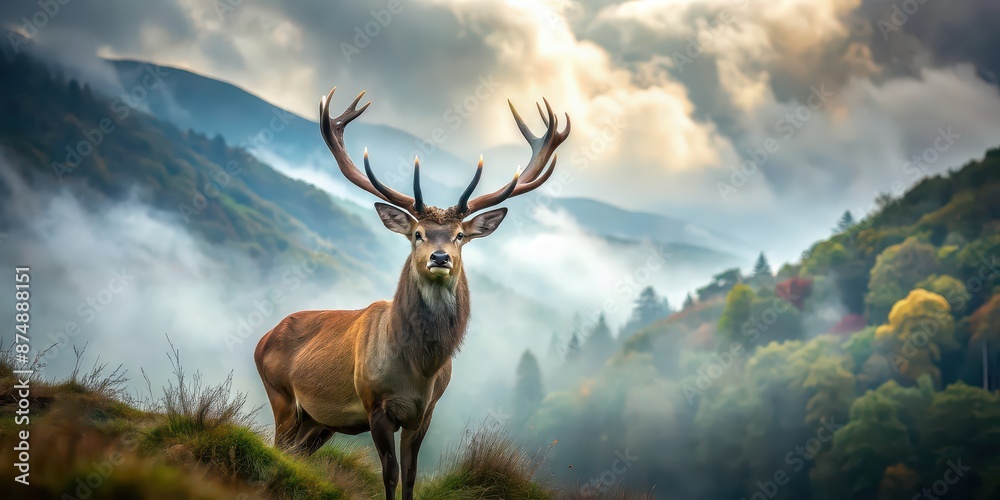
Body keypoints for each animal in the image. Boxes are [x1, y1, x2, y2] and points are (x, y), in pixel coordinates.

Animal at [254, 85, 570, 500]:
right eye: (417, 234)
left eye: (460, 236)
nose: (440, 257)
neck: (420, 368)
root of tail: (263, 338)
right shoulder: (375, 405)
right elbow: (389, 474)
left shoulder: (425, 413)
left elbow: (411, 475)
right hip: (282, 396)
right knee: (278, 445)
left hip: (318, 422)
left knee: (296, 452)